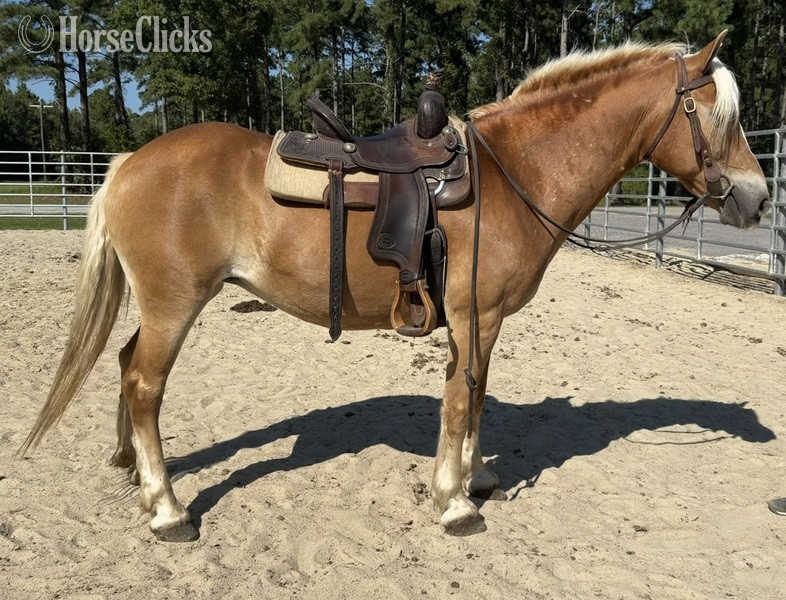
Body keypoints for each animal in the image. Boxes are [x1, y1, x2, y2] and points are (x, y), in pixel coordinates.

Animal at [22, 32, 769, 542]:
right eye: (720, 118)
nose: (758, 200)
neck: (515, 173)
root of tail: (128, 162)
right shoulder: (474, 315)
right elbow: (461, 400)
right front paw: (455, 502)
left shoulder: (485, 321)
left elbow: (477, 392)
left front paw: (477, 477)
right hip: (175, 305)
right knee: (144, 383)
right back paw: (168, 509)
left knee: (124, 366)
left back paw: (133, 471)